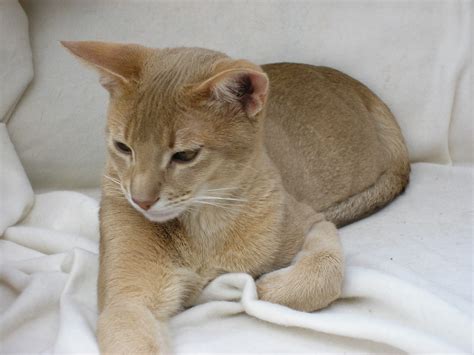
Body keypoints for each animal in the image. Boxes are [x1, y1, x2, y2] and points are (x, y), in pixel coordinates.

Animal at [61, 40, 410, 354]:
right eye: (122, 147)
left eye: (185, 155)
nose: (140, 200)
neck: (203, 226)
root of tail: (362, 89)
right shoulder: (128, 303)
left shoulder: (313, 221)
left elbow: (325, 273)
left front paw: (265, 288)